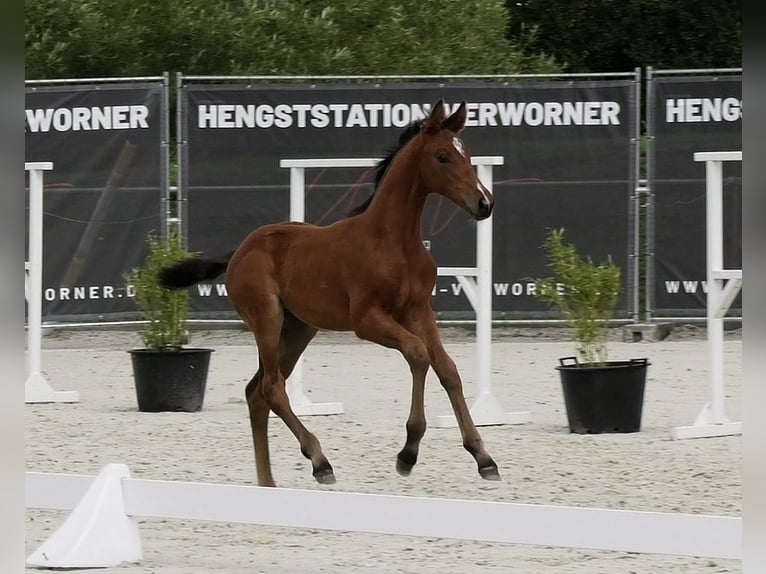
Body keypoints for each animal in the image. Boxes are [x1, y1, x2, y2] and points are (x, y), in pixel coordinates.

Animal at [159, 99, 499, 487]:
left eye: (466, 154)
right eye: (443, 157)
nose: (484, 203)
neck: (393, 241)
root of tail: (241, 250)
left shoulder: (419, 310)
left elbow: (448, 369)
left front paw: (483, 456)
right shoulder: (367, 320)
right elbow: (418, 354)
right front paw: (408, 452)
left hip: (298, 329)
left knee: (256, 392)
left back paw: (269, 483)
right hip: (267, 319)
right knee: (272, 388)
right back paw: (320, 462)